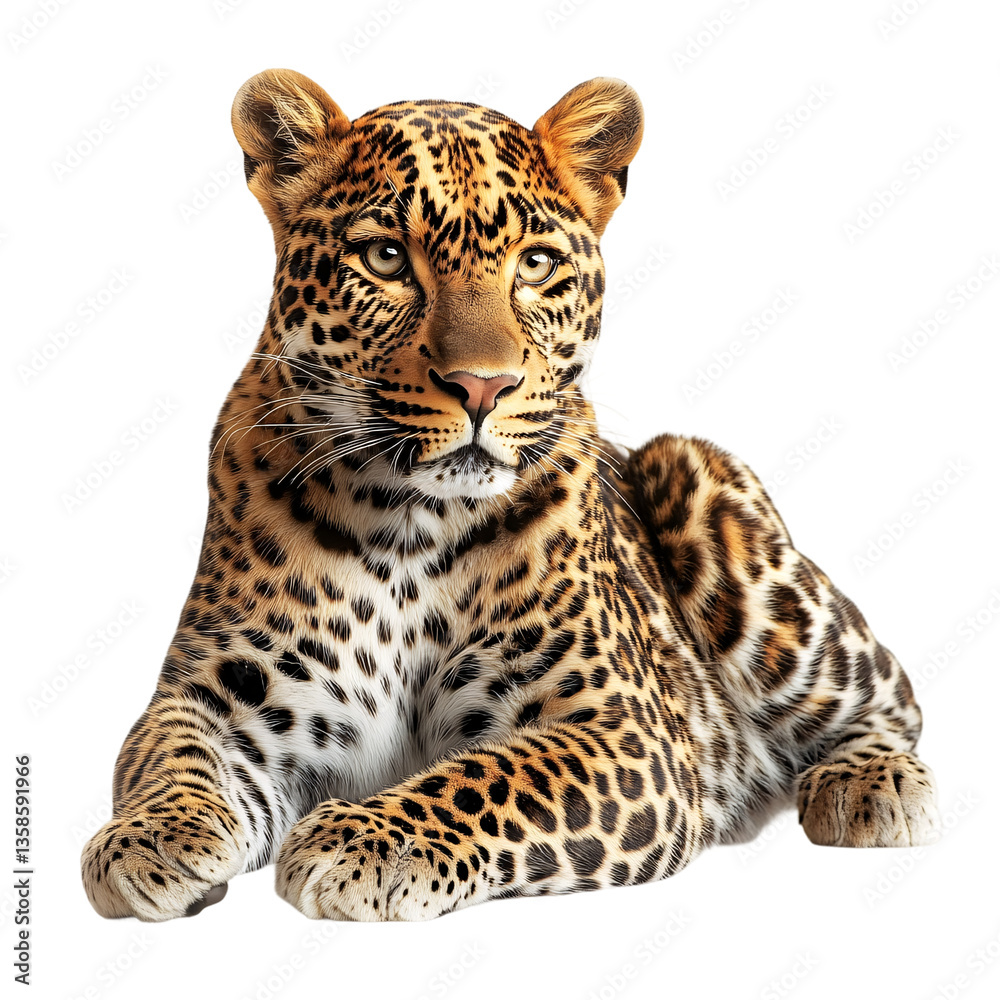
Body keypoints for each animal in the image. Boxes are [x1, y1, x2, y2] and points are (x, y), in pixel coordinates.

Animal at [81, 70, 939, 922]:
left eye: (534, 265)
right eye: (385, 258)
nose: (482, 386)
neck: (406, 520)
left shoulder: (622, 727)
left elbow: (487, 778)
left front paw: (361, 840)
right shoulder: (222, 694)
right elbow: (168, 752)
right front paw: (149, 837)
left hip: (700, 487)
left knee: (893, 695)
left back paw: (870, 784)